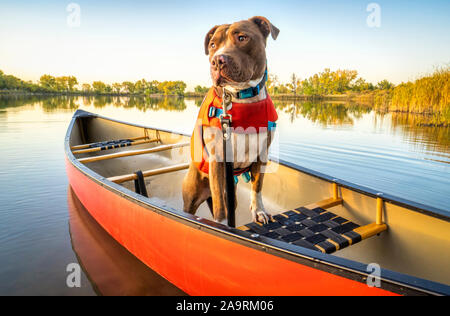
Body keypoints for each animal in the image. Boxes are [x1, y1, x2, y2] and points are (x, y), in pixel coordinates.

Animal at [181, 16, 280, 225]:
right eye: (212, 45)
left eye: (242, 38)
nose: (217, 60)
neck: (241, 97)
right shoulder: (217, 158)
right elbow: (220, 203)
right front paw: (222, 226)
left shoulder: (262, 154)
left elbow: (257, 187)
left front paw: (259, 211)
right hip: (192, 195)